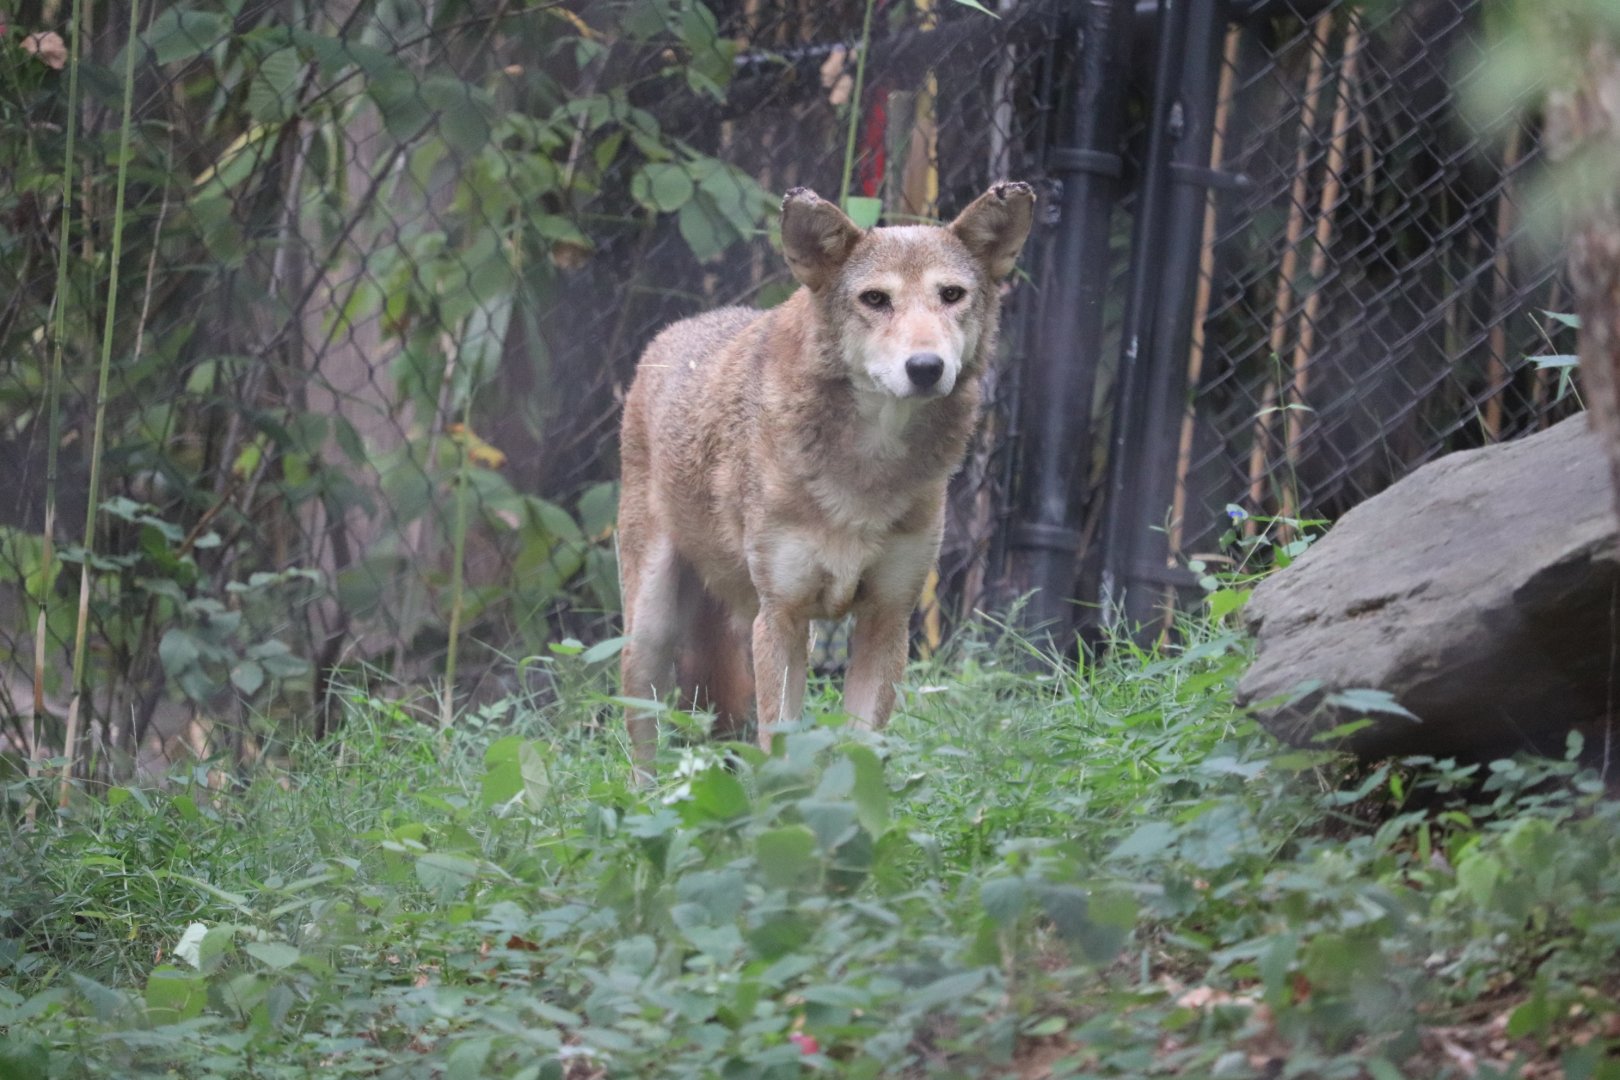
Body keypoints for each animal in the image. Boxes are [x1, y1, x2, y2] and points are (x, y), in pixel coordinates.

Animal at [616, 181, 1036, 772]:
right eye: (875, 300)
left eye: (952, 295)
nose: (926, 367)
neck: (867, 471)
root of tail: (673, 332)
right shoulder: (784, 618)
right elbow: (781, 751)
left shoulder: (887, 618)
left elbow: (859, 756)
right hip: (652, 634)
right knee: (644, 753)